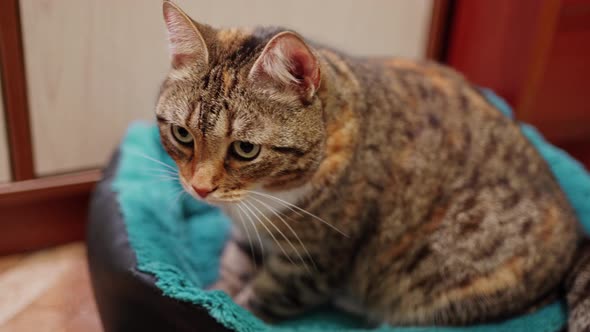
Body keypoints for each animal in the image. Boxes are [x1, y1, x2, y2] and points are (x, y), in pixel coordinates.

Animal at [154, 1, 590, 330]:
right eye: (182, 134)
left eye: (245, 149)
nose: (199, 188)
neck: (265, 197)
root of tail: (576, 240)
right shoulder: (250, 236)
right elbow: (234, 266)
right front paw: (211, 291)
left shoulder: (313, 261)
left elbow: (260, 298)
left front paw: (226, 304)